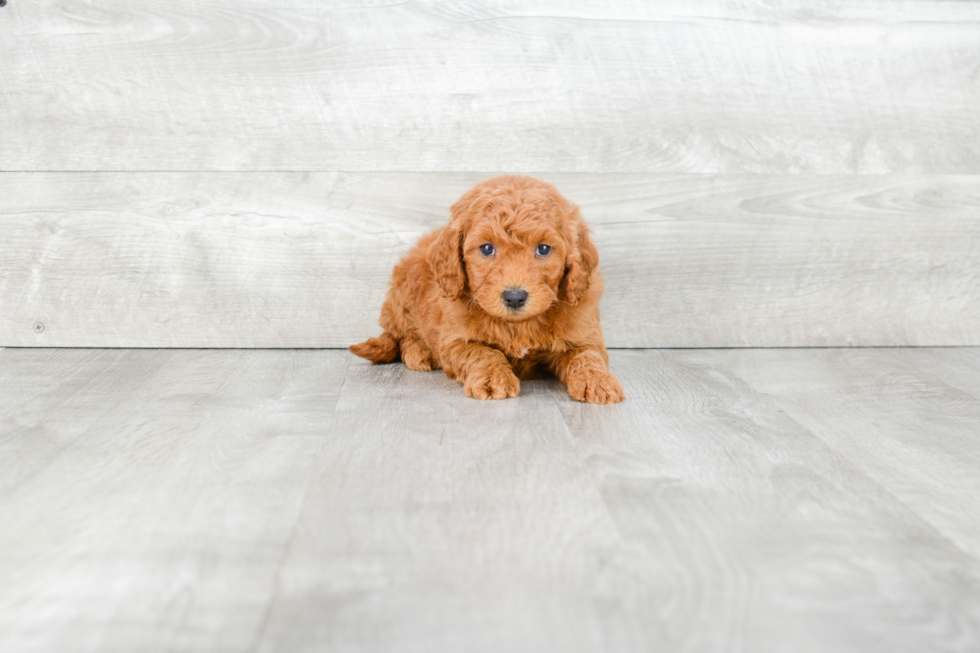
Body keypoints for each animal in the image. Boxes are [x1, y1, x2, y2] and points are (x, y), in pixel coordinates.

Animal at [352, 173, 624, 402]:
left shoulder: (584, 334)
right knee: (400, 337)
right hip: (400, 298)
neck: (518, 326)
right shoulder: (454, 341)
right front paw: (494, 379)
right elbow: (482, 353)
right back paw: (420, 353)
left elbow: (587, 356)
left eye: (544, 249)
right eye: (486, 248)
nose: (514, 297)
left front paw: (598, 382)